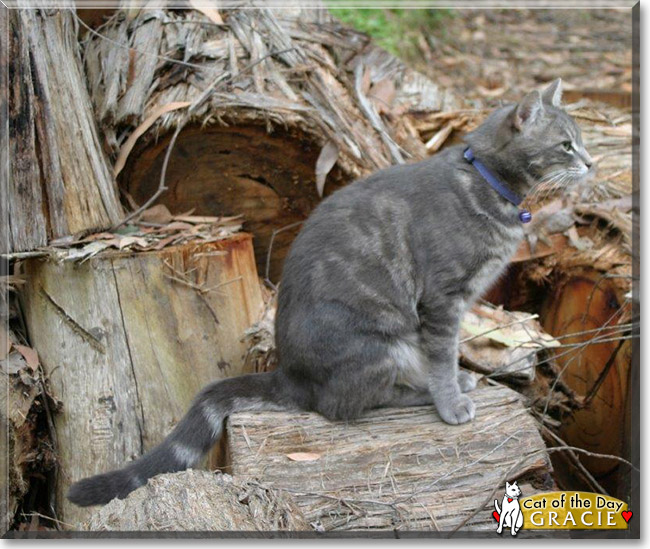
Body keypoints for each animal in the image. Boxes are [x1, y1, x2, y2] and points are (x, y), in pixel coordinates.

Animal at [68, 78, 588, 506]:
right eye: (566, 145)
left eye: (580, 140)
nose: (589, 161)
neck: (486, 181)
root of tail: (290, 374)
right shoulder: (443, 298)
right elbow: (443, 355)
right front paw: (449, 400)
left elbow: (452, 352)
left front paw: (457, 381)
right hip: (381, 346)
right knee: (344, 405)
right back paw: (415, 394)